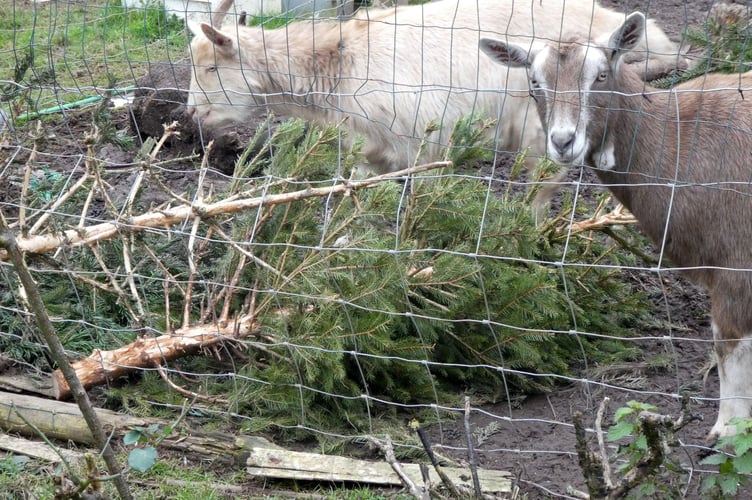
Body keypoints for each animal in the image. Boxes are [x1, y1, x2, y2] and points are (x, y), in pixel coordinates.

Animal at [186, 0, 685, 199]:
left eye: (211, 67)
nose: (191, 110)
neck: (342, 60)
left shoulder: (427, 143)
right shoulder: (372, 148)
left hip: (549, 130)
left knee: (542, 189)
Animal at [481, 12, 752, 441]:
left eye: (602, 75)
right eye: (535, 82)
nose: (563, 141)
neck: (677, 137)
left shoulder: (736, 262)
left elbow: (729, 347)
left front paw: (727, 430)